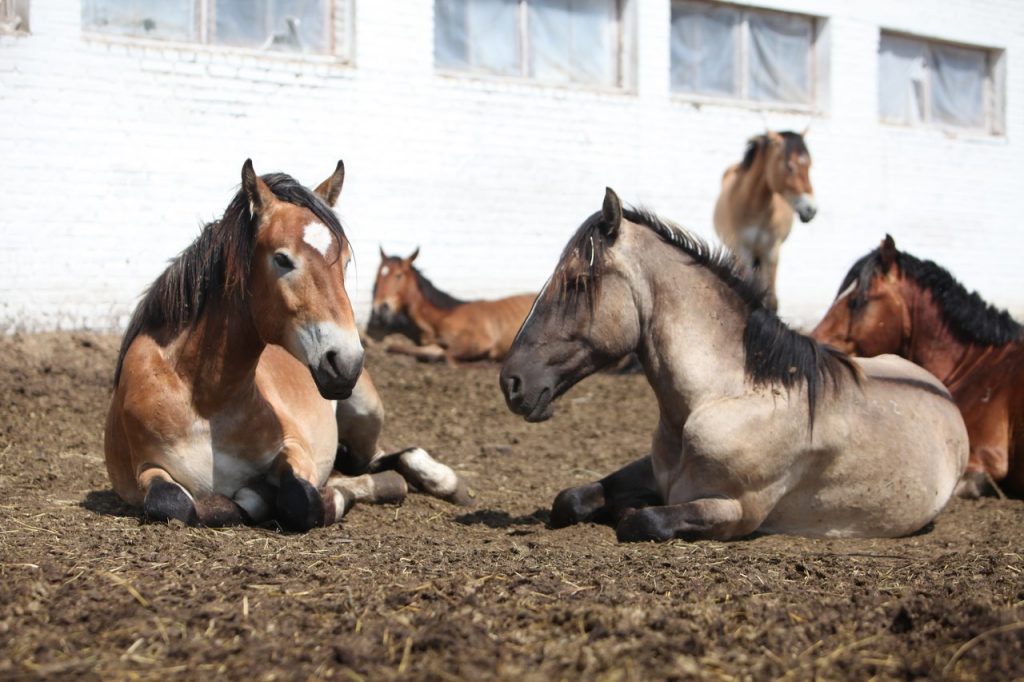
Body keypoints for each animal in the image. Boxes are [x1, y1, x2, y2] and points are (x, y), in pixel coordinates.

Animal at [104, 160, 468, 532]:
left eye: (345, 261)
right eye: (282, 259)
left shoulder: (295, 449)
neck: (203, 400)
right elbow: (173, 503)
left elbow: (301, 500)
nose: (346, 362)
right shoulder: (145, 471)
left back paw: (443, 480)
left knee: (376, 460)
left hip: (365, 412)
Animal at [366, 248, 532, 364]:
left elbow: (447, 355)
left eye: (398, 275)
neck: (442, 316)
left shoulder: (480, 341)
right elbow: (397, 347)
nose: (381, 307)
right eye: (378, 276)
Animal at [501, 188, 966, 540]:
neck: (726, 394)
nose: (511, 382)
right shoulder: (650, 470)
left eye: (579, 282)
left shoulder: (737, 512)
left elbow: (641, 521)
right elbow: (569, 500)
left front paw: (628, 513)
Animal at [712, 129, 815, 311]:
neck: (754, 206)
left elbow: (772, 301)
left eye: (809, 165)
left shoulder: (771, 251)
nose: (810, 209)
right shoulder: (743, 251)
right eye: (790, 166)